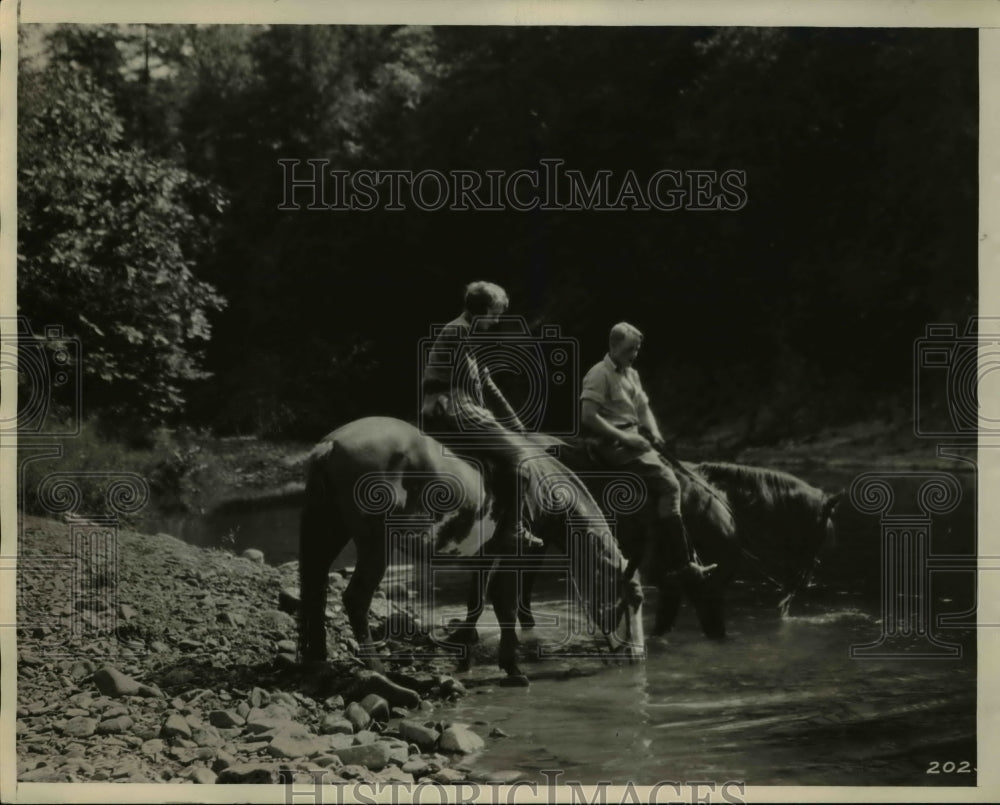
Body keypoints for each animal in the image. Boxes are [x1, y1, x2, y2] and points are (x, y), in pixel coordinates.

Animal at [296, 418, 644, 680]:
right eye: (634, 600)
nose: (636, 657)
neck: (544, 490)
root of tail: (331, 445)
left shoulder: (486, 556)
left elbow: (475, 603)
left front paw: (465, 661)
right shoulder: (514, 556)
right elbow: (504, 605)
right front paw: (512, 668)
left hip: (327, 533)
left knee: (314, 588)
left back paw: (317, 659)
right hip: (376, 544)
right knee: (355, 599)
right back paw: (376, 667)